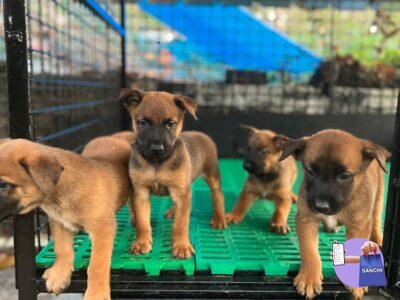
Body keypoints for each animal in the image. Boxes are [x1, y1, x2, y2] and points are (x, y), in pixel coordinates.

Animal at [0, 132, 134, 300]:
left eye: (3, 185)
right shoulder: (60, 223)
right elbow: (62, 249)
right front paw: (59, 274)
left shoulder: (102, 229)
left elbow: (97, 264)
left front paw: (96, 293)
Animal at [119, 88, 225, 258]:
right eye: (142, 123)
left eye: (170, 124)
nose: (157, 149)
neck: (157, 163)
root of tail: (202, 135)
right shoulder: (141, 193)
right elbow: (143, 222)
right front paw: (142, 243)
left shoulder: (181, 191)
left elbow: (181, 224)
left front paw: (181, 246)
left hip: (212, 175)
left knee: (217, 195)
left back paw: (219, 218)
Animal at [280, 129, 390, 300]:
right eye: (310, 171)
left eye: (344, 176)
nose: (321, 206)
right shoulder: (306, 219)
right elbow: (309, 250)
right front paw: (309, 278)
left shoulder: (358, 224)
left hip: (378, 198)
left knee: (376, 220)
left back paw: (378, 239)